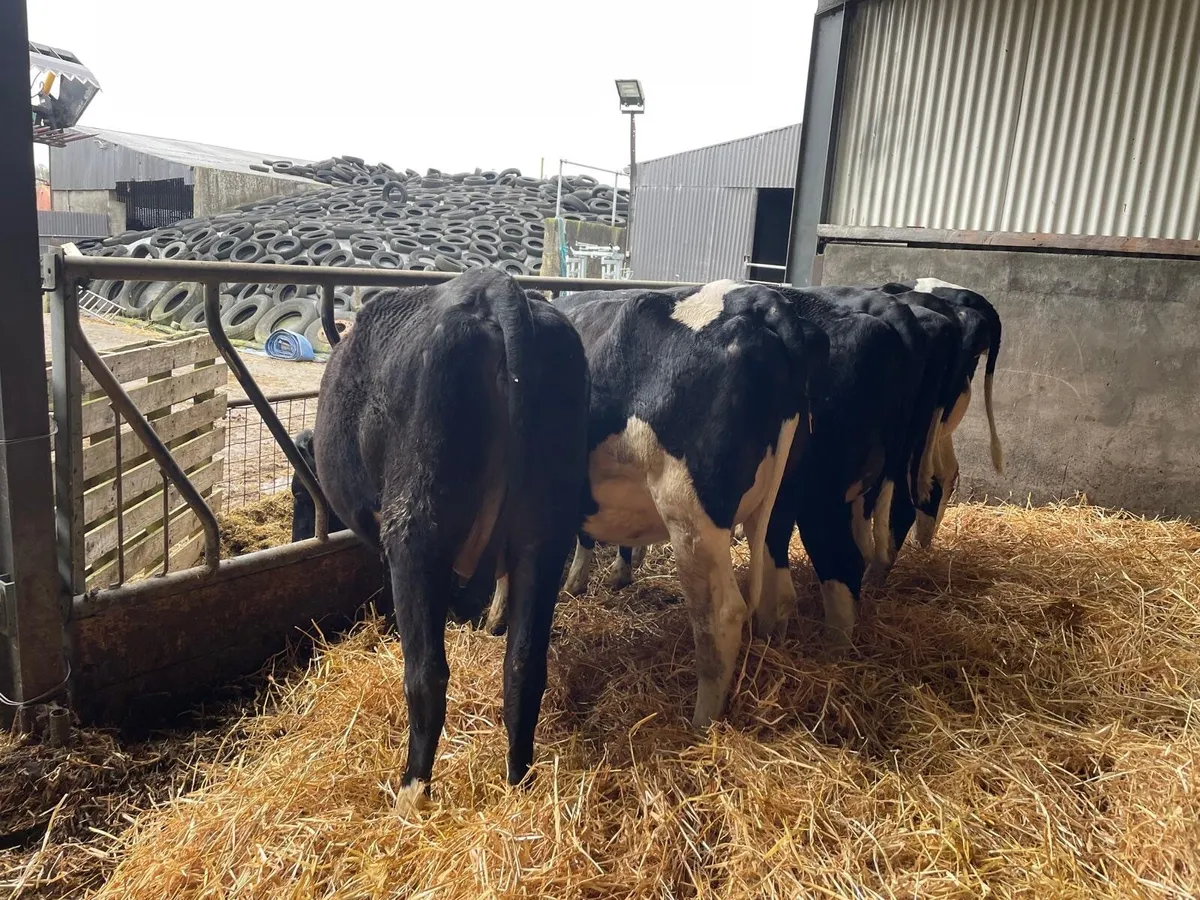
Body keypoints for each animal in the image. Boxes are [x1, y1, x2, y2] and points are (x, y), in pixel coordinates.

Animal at [311, 268, 590, 790]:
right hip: (543, 533)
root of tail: (494, 287)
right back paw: (516, 781)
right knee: (524, 665)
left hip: (416, 528)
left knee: (427, 676)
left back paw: (411, 789)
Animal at [486, 280, 821, 727]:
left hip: (689, 509)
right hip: (781, 502)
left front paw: (497, 617)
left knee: (721, 616)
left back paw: (701, 724)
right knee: (777, 590)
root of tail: (757, 299)